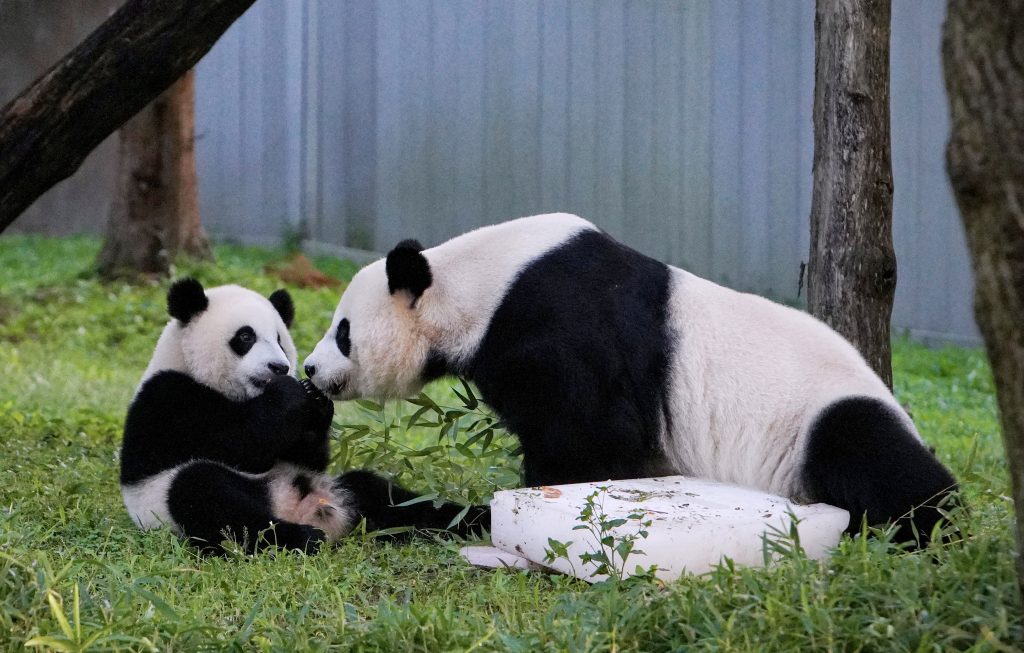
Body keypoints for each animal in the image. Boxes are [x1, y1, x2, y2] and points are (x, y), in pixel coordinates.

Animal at [119, 278, 487, 556]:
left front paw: (317, 400)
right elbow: (238, 444)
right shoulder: (170, 397)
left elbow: (307, 455)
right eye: (246, 337)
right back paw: (301, 538)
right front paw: (290, 393)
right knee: (206, 495)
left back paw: (474, 519)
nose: (279, 367)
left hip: (338, 488)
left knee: (389, 499)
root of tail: (300, 509)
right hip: (167, 501)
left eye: (280, 339)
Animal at [303, 214, 958, 548]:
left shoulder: (557, 324)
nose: (310, 370)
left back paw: (921, 531)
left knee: (873, 457)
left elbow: (591, 440)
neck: (478, 282)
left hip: (820, 414)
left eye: (343, 332)